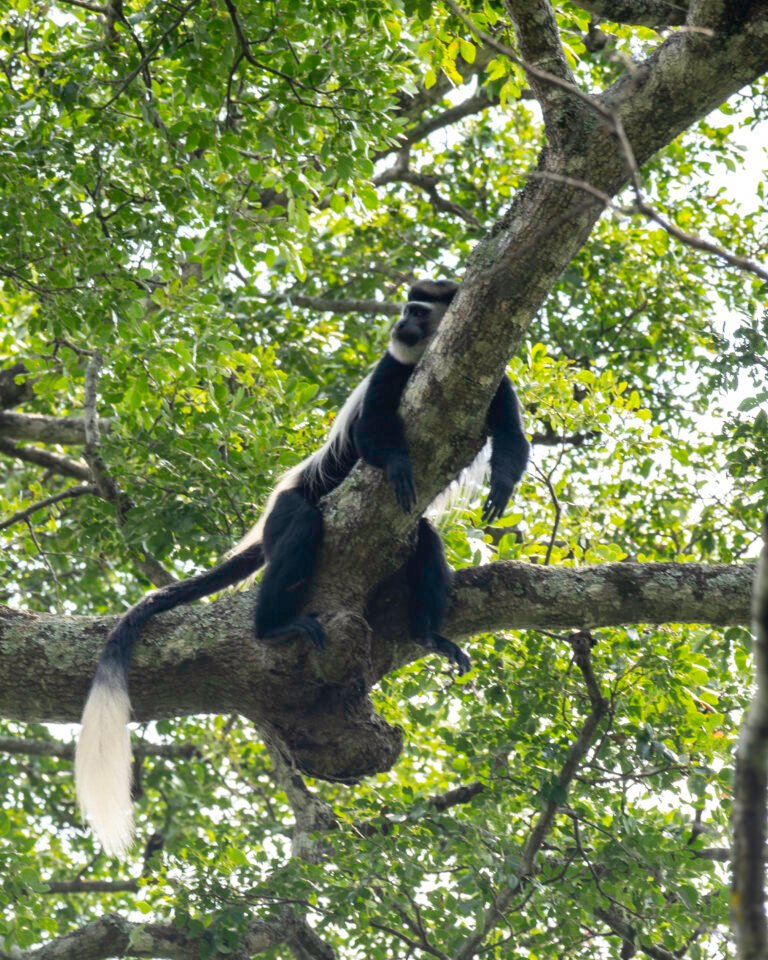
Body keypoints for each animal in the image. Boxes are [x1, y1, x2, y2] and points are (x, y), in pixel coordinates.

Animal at [75, 279, 530, 855]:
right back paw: (273, 626)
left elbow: (513, 436)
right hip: (289, 513)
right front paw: (399, 465)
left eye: (419, 311)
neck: (428, 357)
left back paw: (429, 635)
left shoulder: (496, 378)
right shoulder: (389, 370)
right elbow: (370, 435)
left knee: (424, 540)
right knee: (304, 527)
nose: (401, 325)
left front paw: (501, 490)